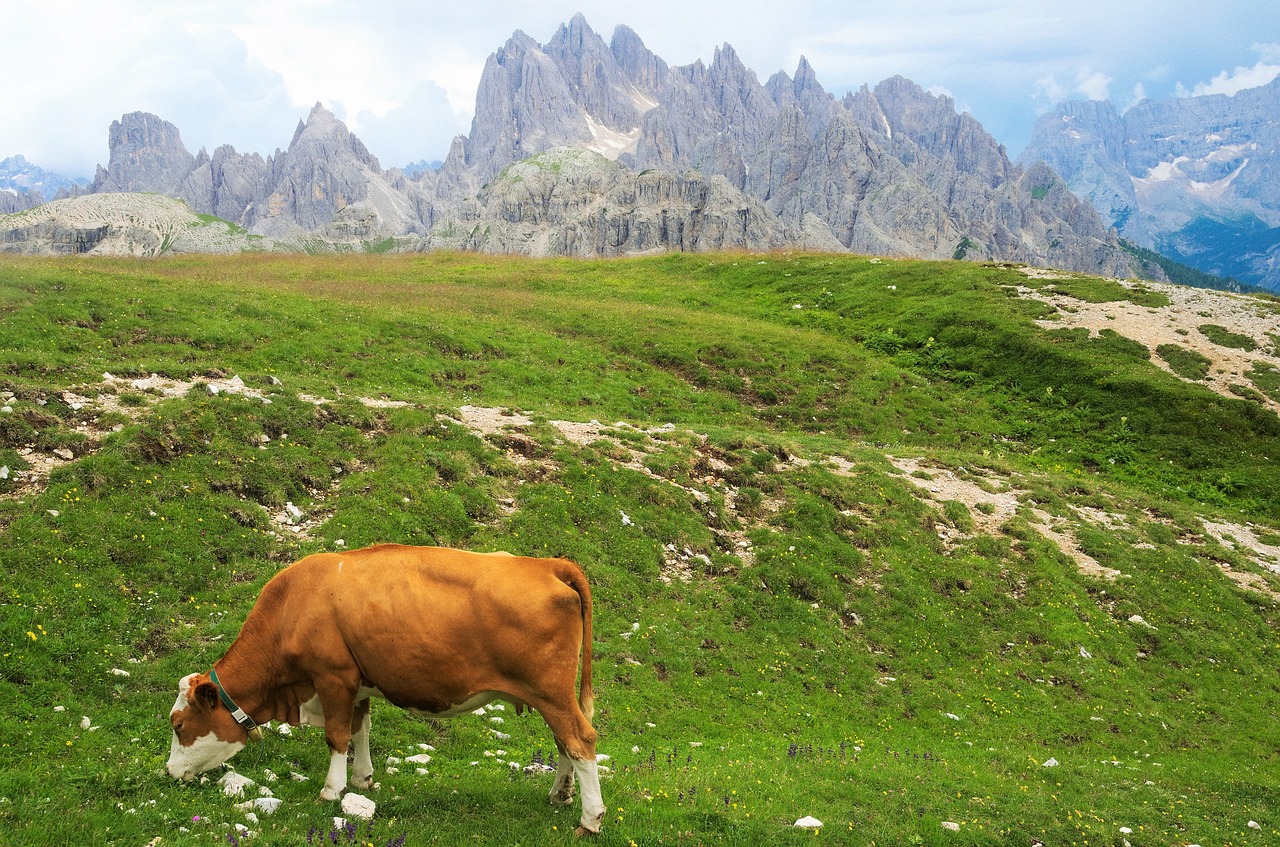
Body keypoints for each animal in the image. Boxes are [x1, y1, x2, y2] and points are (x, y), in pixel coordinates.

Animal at [166, 545, 604, 834]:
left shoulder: (333, 677)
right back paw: (560, 795)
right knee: (565, 743)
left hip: (550, 692)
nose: (169, 772)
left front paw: (331, 791)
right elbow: (361, 730)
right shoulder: (357, 684)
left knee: (580, 740)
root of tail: (547, 564)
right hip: (554, 696)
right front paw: (362, 780)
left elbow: (337, 736)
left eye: (178, 725)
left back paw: (590, 819)